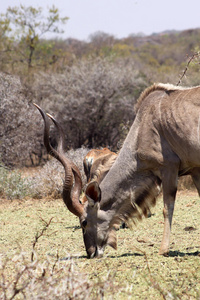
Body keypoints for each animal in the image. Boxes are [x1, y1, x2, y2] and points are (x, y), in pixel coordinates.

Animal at [34, 84, 200, 258]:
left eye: (84, 222)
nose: (91, 253)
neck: (143, 128)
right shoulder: (195, 170)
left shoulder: (169, 168)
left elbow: (167, 208)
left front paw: (163, 250)